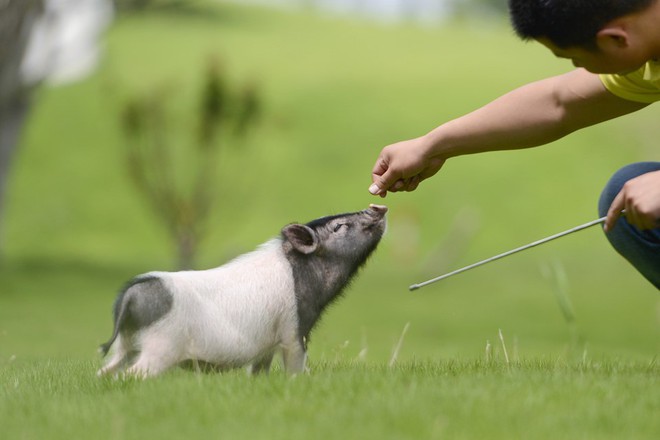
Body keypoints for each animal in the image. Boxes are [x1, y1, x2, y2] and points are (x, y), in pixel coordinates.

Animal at [97, 205, 386, 376]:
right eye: (339, 227)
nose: (378, 207)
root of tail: (130, 294)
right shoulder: (293, 330)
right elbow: (295, 365)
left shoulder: (267, 344)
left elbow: (259, 372)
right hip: (161, 346)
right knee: (133, 374)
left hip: (127, 344)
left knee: (107, 371)